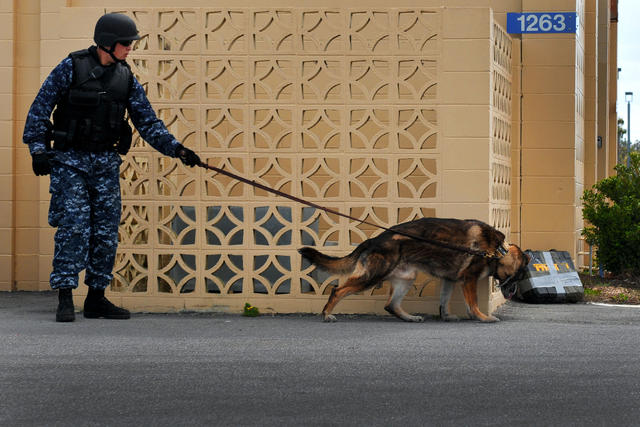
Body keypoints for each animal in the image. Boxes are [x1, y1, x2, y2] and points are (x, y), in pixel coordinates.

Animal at [299, 217, 529, 323]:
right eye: (517, 277)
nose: (512, 293)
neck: (497, 250)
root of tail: (374, 240)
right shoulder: (469, 279)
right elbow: (472, 302)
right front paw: (482, 317)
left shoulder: (450, 281)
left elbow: (444, 301)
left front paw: (446, 315)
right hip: (372, 276)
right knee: (338, 290)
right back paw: (327, 313)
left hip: (406, 278)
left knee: (390, 305)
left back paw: (409, 317)